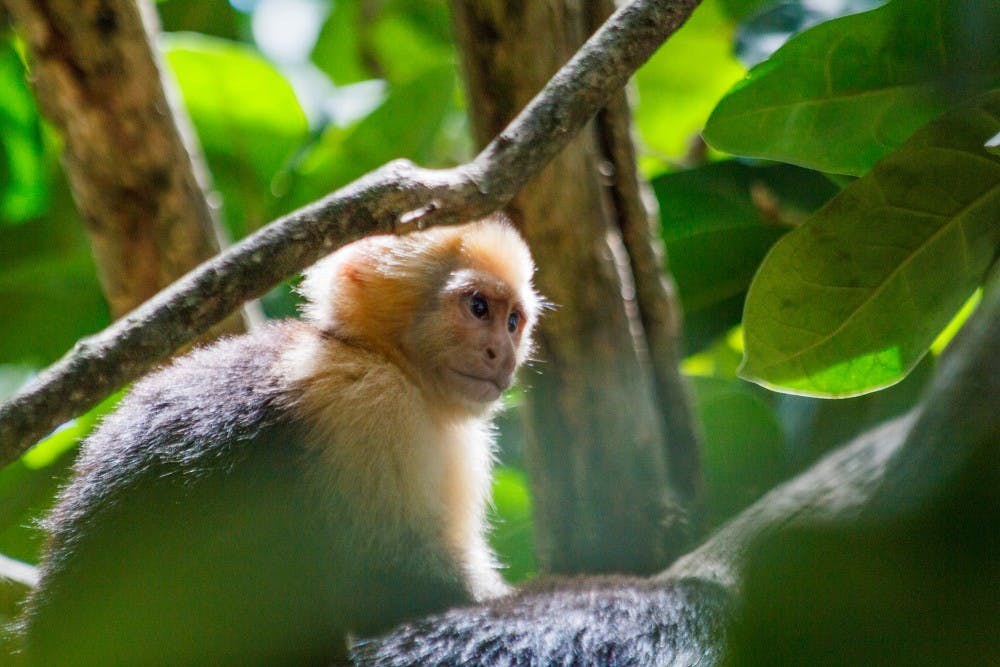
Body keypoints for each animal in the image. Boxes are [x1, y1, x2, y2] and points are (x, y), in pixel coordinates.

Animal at [18, 217, 541, 666]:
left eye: (514, 321)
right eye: (478, 307)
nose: (502, 354)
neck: (378, 356)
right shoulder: (368, 403)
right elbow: (387, 581)